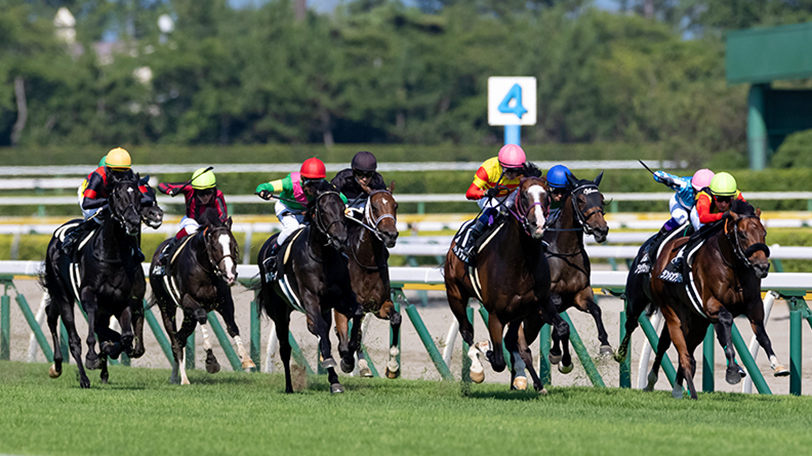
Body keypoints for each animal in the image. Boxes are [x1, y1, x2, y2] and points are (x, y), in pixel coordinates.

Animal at [147, 209, 251, 384]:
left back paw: (175, 376)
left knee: (180, 337)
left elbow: (232, 326)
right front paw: (211, 361)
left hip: (188, 315)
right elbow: (203, 316)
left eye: (233, 244)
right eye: (215, 246)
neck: (205, 269)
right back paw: (183, 379)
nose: (230, 275)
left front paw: (246, 359)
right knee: (175, 340)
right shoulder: (188, 300)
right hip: (167, 306)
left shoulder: (224, 301)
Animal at [255, 180, 364, 394]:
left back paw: (334, 381)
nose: (340, 239)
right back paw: (289, 386)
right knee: (285, 348)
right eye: (323, 210)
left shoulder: (342, 297)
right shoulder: (310, 298)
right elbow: (320, 331)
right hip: (279, 311)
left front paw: (347, 359)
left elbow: (357, 313)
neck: (323, 257)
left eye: (342, 208)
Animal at [334, 183, 402, 380]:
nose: (390, 235)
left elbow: (396, 318)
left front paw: (392, 367)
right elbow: (350, 337)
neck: (366, 262)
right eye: (374, 207)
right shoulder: (344, 305)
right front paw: (347, 360)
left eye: (395, 205)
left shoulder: (380, 305)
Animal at [444, 175, 572, 392]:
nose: (538, 224)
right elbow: (497, 360)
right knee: (467, 331)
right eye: (524, 195)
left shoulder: (541, 303)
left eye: (546, 195)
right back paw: (477, 367)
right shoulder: (495, 314)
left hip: (517, 314)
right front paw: (484, 348)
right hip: (455, 296)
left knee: (512, 341)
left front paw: (564, 361)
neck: (520, 262)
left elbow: (563, 327)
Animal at [648, 200, 788, 400]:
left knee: (688, 348)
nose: (762, 266)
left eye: (764, 233)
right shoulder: (711, 304)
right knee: (674, 346)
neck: (734, 266)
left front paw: (777, 365)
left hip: (697, 321)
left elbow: (761, 333)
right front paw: (732, 370)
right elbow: (727, 322)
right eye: (743, 234)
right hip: (671, 310)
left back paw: (677, 388)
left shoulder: (753, 304)